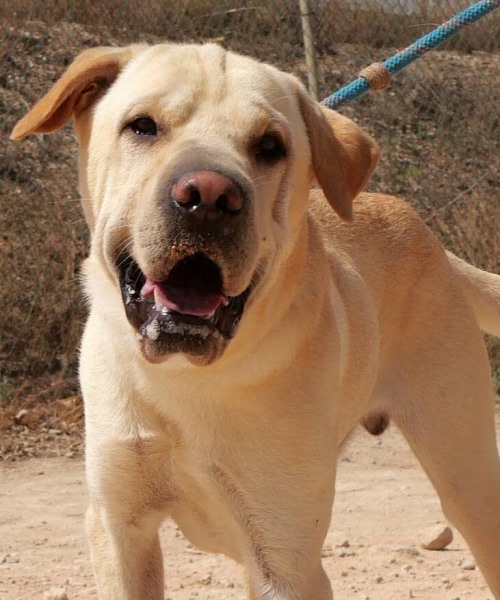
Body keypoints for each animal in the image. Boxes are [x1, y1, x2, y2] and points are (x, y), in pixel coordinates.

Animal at [11, 43, 500, 599]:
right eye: (143, 126)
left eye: (270, 145)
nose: (208, 196)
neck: (187, 378)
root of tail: (428, 236)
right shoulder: (118, 531)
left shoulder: (287, 562)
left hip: (469, 483)